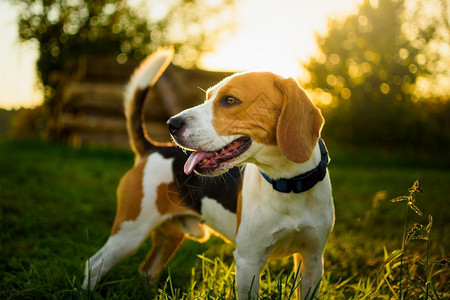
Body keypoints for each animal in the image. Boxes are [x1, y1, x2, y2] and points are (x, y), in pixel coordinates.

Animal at [82, 48, 334, 298]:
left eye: (230, 100)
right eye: (207, 98)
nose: (171, 124)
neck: (288, 184)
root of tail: (153, 147)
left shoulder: (312, 261)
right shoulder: (248, 261)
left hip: (169, 236)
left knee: (147, 269)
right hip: (129, 232)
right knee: (94, 265)